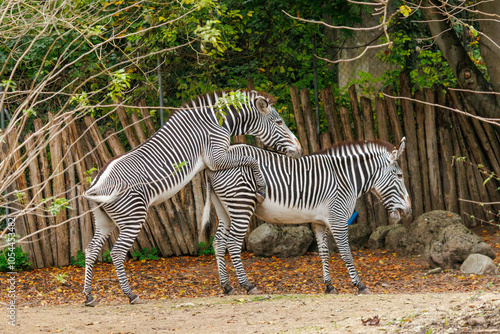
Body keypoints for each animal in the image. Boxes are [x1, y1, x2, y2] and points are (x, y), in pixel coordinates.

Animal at [80, 89, 302, 306]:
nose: (299, 149)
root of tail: (95, 185)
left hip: (105, 221)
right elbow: (251, 158)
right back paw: (131, 295)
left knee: (91, 249)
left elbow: (247, 157)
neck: (219, 122)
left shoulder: (217, 159)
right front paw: (262, 187)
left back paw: (89, 296)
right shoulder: (215, 158)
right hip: (132, 217)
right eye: (279, 122)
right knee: (117, 253)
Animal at [201, 138, 412, 294]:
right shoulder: (338, 218)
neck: (346, 179)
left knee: (218, 242)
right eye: (400, 176)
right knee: (232, 244)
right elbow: (346, 253)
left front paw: (329, 286)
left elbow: (324, 252)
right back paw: (248, 286)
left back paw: (226, 286)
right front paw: (359, 285)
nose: (409, 210)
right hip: (241, 205)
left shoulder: (319, 222)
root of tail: (211, 165)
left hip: (224, 209)